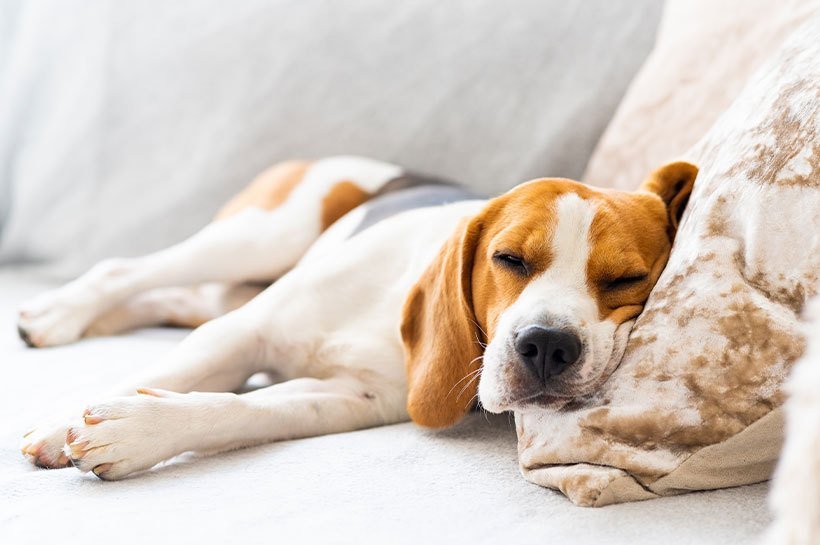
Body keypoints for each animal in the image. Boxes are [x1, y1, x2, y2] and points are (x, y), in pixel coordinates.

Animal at [17, 154, 700, 480]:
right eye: (508, 258)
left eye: (627, 281)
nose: (548, 346)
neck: (392, 309)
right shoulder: (241, 333)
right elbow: (168, 374)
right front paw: (57, 426)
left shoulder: (355, 397)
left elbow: (244, 408)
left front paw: (138, 430)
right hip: (261, 236)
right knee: (124, 271)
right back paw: (57, 314)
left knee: (166, 298)